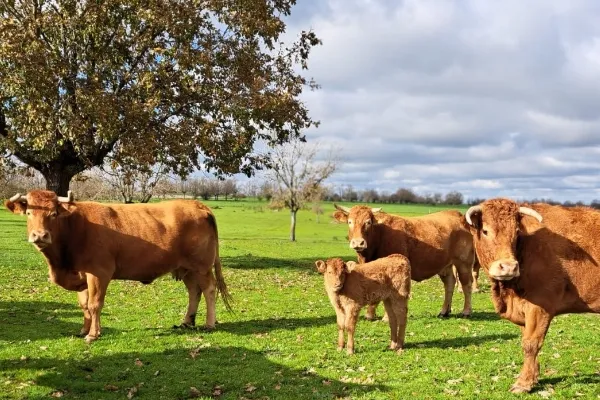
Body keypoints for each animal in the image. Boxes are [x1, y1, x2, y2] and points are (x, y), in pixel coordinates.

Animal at [4, 189, 232, 342]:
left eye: (53, 214)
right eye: (29, 213)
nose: (40, 236)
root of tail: (197, 205)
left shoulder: (99, 273)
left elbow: (95, 304)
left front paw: (93, 334)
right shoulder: (82, 274)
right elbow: (84, 305)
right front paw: (84, 330)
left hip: (202, 266)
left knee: (209, 290)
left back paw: (209, 324)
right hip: (187, 269)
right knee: (194, 291)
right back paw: (187, 321)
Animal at [336, 206, 476, 318]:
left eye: (368, 222)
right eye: (349, 222)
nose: (358, 243)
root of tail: (459, 217)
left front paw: (386, 317)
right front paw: (370, 315)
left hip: (464, 263)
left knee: (466, 284)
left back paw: (466, 311)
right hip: (445, 265)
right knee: (449, 284)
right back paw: (444, 311)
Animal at [464, 198, 600, 392]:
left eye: (516, 233)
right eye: (485, 231)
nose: (509, 267)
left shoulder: (539, 306)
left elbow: (530, 344)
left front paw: (523, 383)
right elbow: (526, 339)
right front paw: (534, 377)